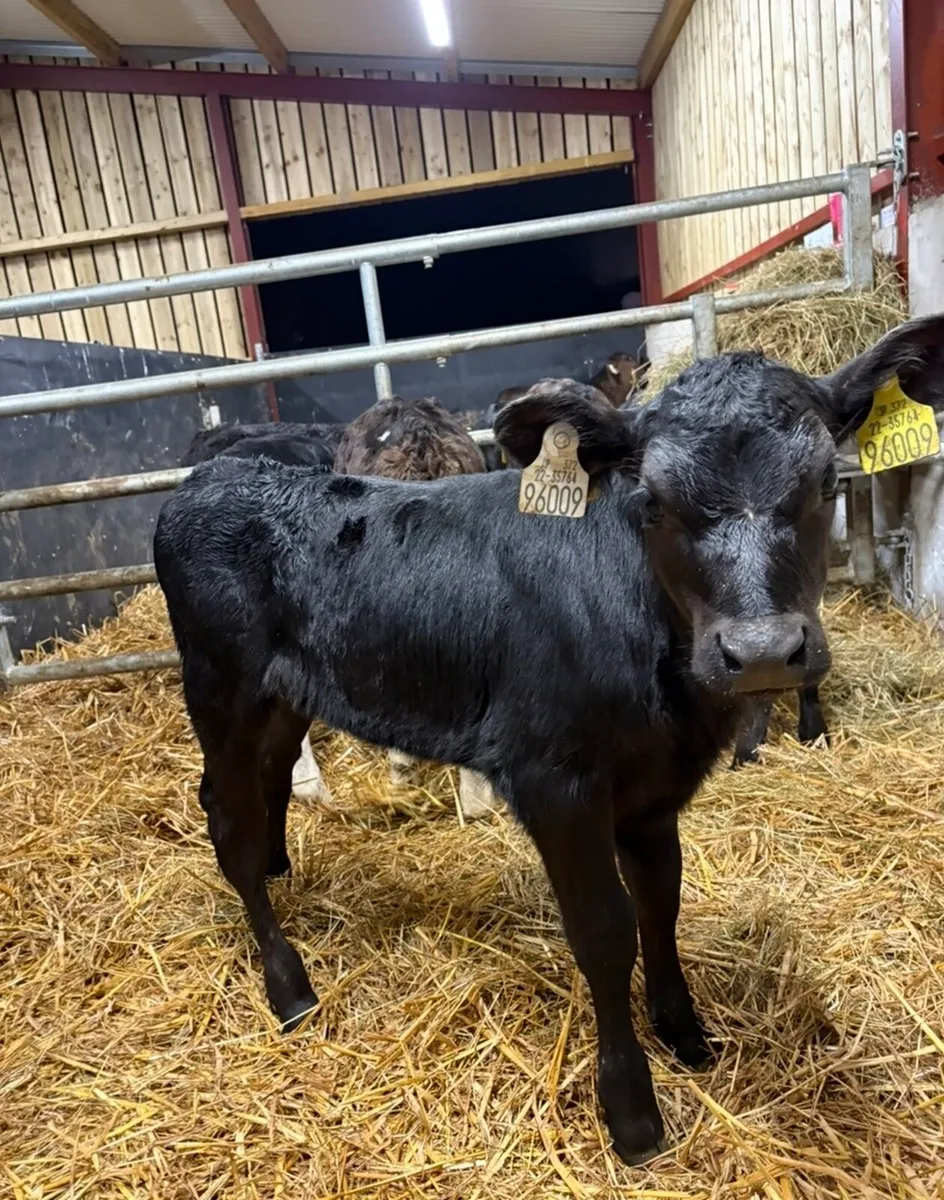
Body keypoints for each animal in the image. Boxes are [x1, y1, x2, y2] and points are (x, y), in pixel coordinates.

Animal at [154, 314, 944, 1166]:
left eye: (826, 482)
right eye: (652, 499)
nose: (762, 651)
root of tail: (214, 477)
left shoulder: (653, 790)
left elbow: (661, 900)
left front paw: (685, 1032)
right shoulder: (555, 784)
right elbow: (605, 930)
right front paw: (632, 1111)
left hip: (283, 693)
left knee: (266, 784)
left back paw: (281, 871)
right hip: (220, 685)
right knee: (225, 819)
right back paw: (288, 984)